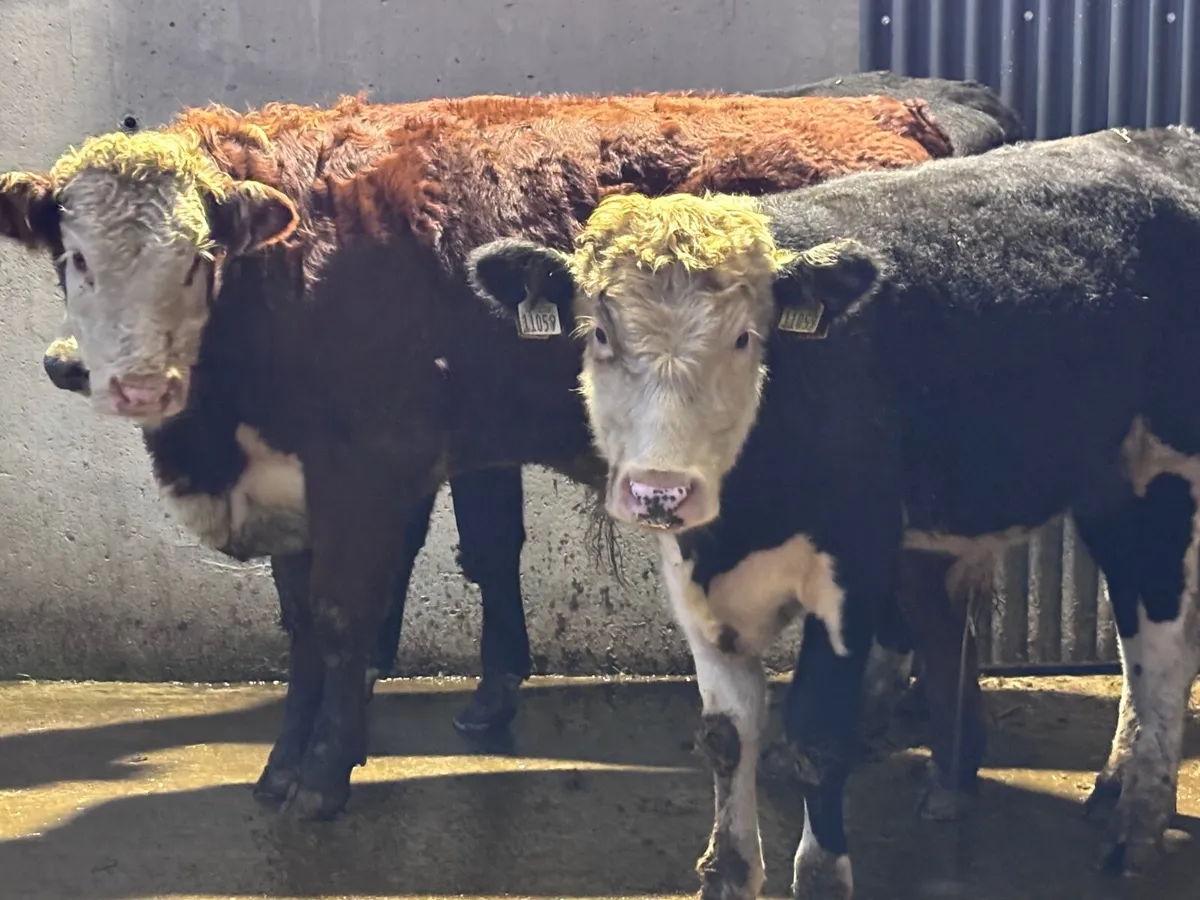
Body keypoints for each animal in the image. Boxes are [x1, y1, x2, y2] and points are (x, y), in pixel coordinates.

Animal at [0, 90, 956, 823]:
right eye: (73, 258)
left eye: (198, 258)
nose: (133, 384)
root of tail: (888, 113)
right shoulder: (295, 486)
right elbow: (302, 627)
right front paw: (279, 767)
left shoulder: (369, 472)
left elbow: (344, 621)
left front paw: (323, 777)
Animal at [464, 126, 1200, 897]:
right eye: (600, 335)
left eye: (744, 337)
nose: (660, 490)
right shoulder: (692, 578)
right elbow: (726, 737)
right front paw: (728, 872)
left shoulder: (855, 563)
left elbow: (819, 737)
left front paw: (820, 873)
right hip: (1103, 488)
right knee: (1116, 638)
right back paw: (1088, 787)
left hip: (1163, 475)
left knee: (1163, 644)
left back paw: (1137, 821)